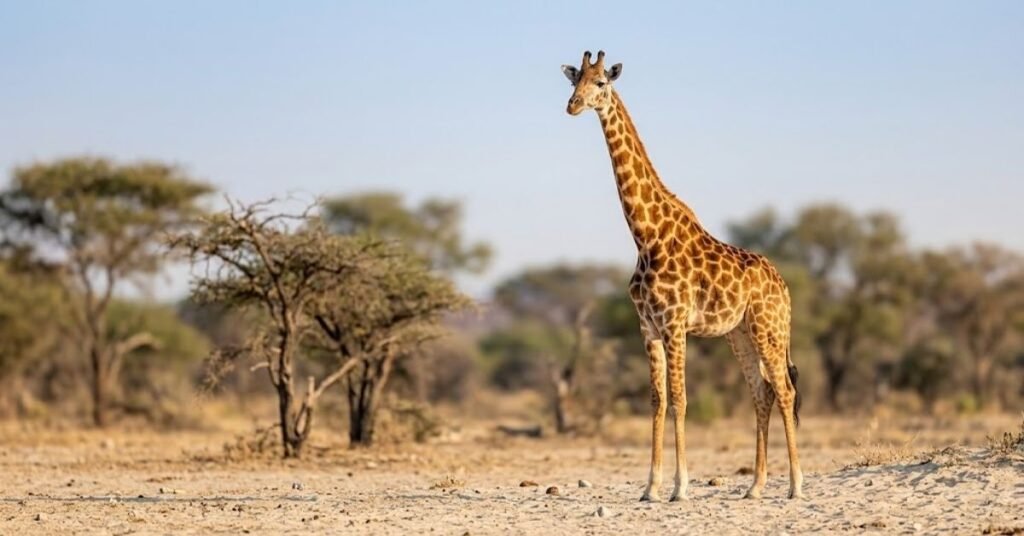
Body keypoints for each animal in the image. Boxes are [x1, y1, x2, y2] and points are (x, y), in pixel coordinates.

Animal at [561, 50, 804, 501]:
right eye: (574, 81)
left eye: (601, 82)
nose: (572, 105)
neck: (645, 236)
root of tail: (784, 286)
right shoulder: (647, 326)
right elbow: (657, 400)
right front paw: (650, 487)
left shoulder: (674, 324)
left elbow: (680, 398)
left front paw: (680, 486)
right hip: (739, 334)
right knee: (761, 393)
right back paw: (756, 486)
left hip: (770, 329)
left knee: (785, 390)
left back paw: (796, 485)